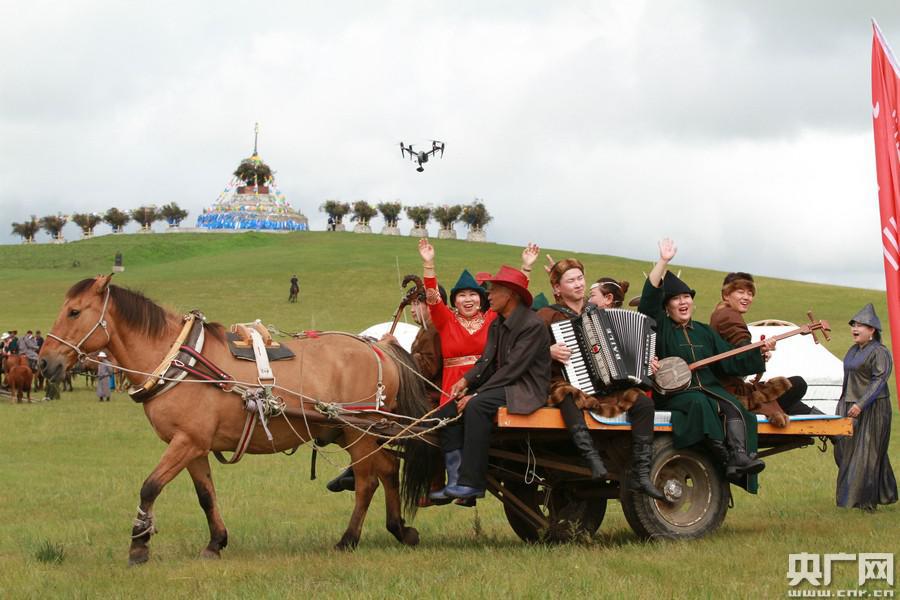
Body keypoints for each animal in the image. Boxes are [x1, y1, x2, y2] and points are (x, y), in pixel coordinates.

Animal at [40, 274, 434, 564]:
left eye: (74, 312)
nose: (45, 362)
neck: (181, 362)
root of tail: (378, 346)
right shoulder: (194, 446)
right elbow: (206, 495)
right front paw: (216, 542)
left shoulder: (186, 442)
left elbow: (150, 486)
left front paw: (139, 544)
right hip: (355, 430)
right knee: (388, 470)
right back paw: (400, 528)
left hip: (358, 433)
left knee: (367, 482)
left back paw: (349, 539)